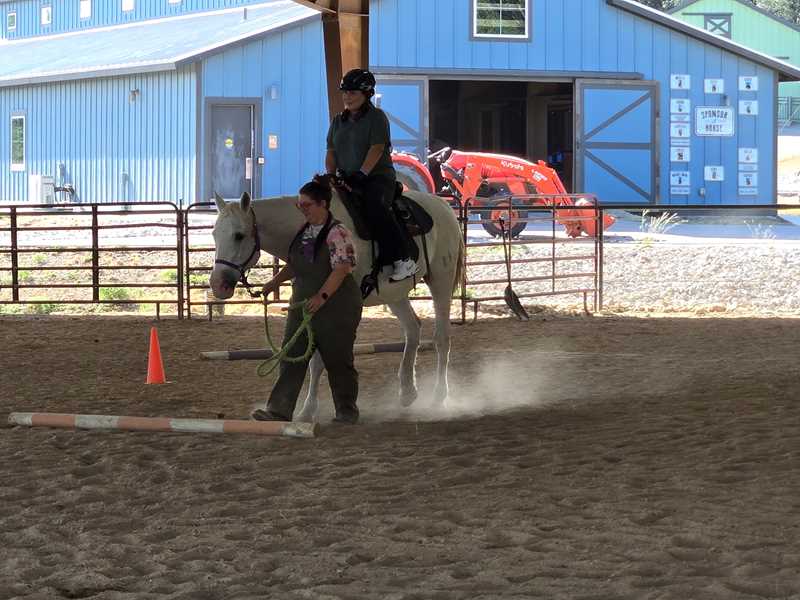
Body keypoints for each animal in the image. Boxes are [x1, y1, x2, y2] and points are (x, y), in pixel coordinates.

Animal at [208, 187, 464, 423]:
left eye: (239, 235)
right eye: (214, 234)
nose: (217, 284)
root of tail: (443, 206)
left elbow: (320, 360)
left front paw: (308, 411)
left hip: (441, 281)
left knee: (442, 338)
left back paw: (439, 397)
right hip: (394, 294)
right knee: (413, 329)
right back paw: (408, 392)